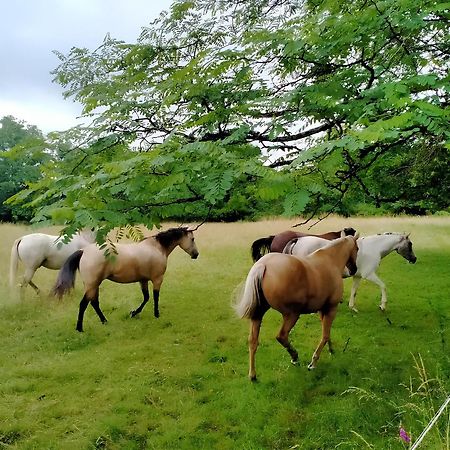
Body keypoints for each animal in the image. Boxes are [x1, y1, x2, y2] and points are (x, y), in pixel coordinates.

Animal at [52, 229, 199, 330]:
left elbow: (146, 297)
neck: (156, 248)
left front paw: (133, 313)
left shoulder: (143, 280)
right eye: (192, 239)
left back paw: (104, 321)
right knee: (84, 304)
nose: (196, 254)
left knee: (94, 303)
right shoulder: (157, 279)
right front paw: (156, 314)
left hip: (94, 285)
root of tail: (84, 251)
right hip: (92, 285)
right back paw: (80, 328)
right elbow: (155, 297)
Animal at [236, 234, 358, 382]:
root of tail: (263, 265)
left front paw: (331, 350)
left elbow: (327, 333)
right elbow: (325, 335)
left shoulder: (322, 310)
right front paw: (313, 362)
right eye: (357, 248)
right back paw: (294, 357)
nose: (354, 270)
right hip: (292, 314)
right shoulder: (331, 309)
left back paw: (253, 375)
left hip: (258, 314)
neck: (330, 261)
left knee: (253, 341)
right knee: (281, 336)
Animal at [284, 234, 416, 312]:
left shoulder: (357, 276)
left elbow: (354, 291)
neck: (374, 248)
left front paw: (352, 307)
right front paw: (382, 305)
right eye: (410, 244)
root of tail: (299, 240)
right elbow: (383, 286)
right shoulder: (369, 275)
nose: (414, 259)